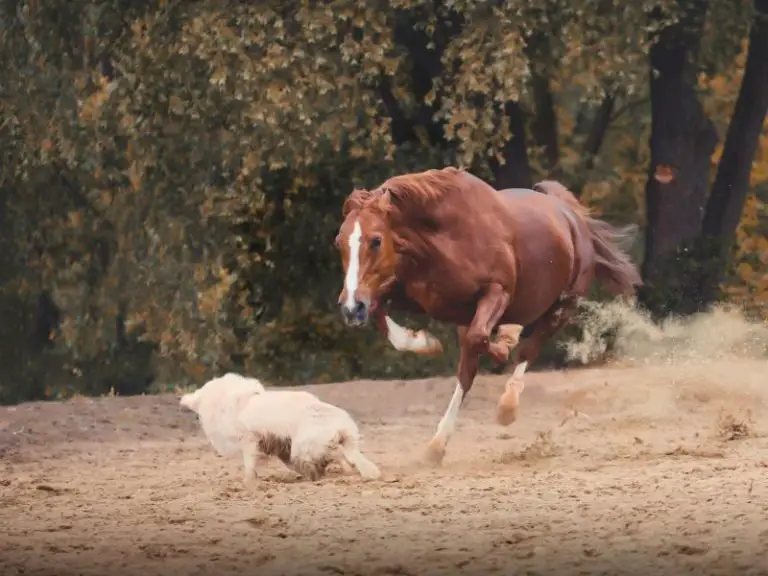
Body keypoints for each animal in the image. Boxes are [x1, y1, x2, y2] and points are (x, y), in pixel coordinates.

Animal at [334, 167, 642, 465]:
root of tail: (571, 216)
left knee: (528, 349)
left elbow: (481, 338)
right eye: (339, 242)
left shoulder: (496, 293)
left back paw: (507, 405)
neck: (443, 239)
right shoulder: (416, 296)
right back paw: (436, 446)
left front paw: (502, 347)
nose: (350, 307)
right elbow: (381, 314)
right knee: (468, 371)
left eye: (375, 240)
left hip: (563, 307)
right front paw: (425, 342)